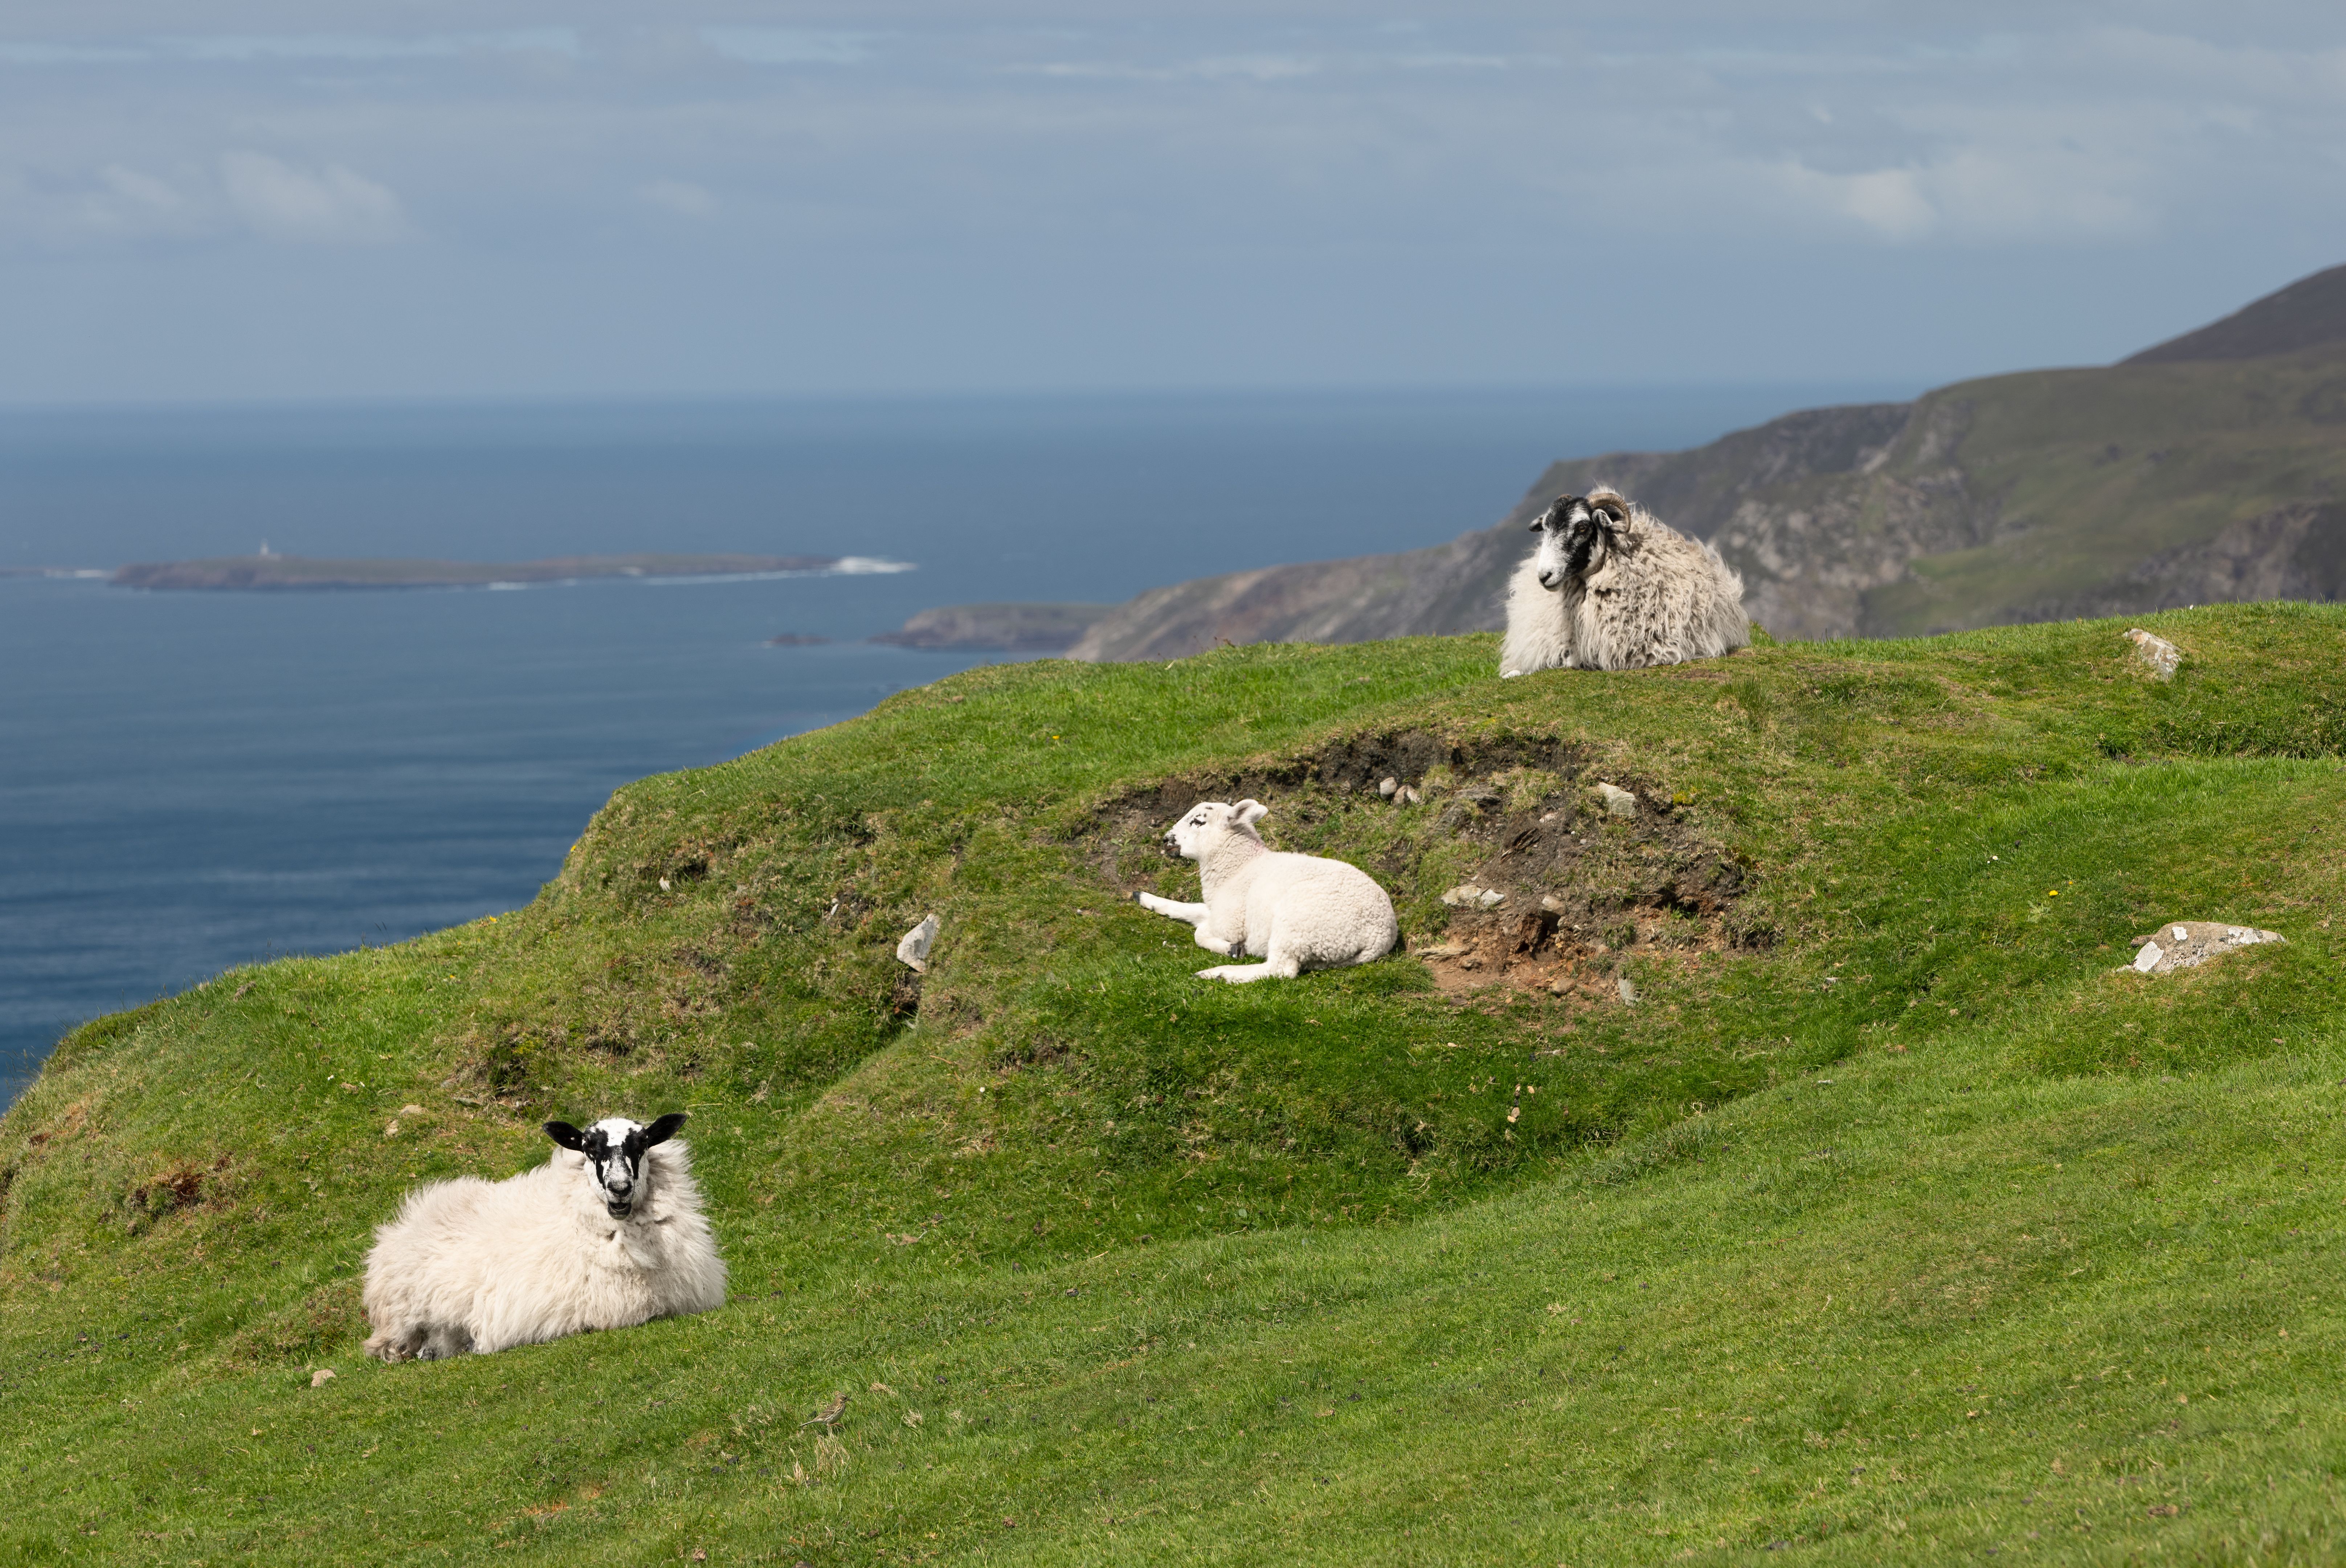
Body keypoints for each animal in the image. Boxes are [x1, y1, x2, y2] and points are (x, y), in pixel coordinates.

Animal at [1134, 799, 1398, 982]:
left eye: (1198, 822)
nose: (1166, 839)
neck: (1239, 867)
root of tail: (1381, 936)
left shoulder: (1230, 921)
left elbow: (1200, 934)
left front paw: (1232, 949)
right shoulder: (1216, 910)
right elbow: (1193, 911)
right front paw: (1144, 898)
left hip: (1298, 924)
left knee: (1281, 970)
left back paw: (1218, 974)